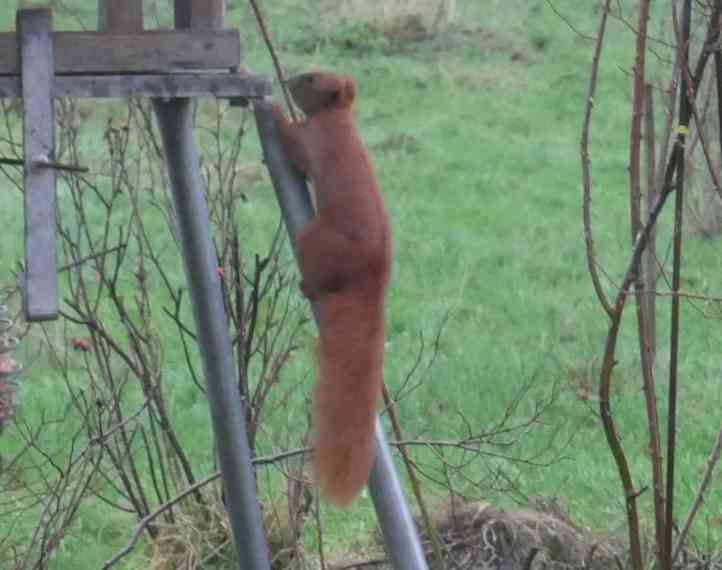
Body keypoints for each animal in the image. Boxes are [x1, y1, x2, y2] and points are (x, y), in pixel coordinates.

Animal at [270, 73, 390, 504]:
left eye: (310, 80)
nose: (287, 80)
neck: (339, 118)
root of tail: (375, 274)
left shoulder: (313, 140)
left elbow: (293, 146)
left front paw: (271, 107)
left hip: (312, 238)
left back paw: (308, 286)